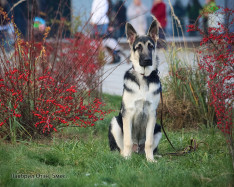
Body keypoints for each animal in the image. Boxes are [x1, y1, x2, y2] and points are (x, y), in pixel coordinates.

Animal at [108, 19, 162, 161]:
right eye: (138, 47)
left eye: (151, 46)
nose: (147, 60)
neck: (143, 77)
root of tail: (137, 150)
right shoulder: (128, 113)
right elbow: (127, 140)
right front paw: (127, 159)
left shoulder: (152, 114)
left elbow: (149, 142)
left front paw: (150, 160)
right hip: (115, 123)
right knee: (123, 147)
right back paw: (125, 155)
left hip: (158, 128)